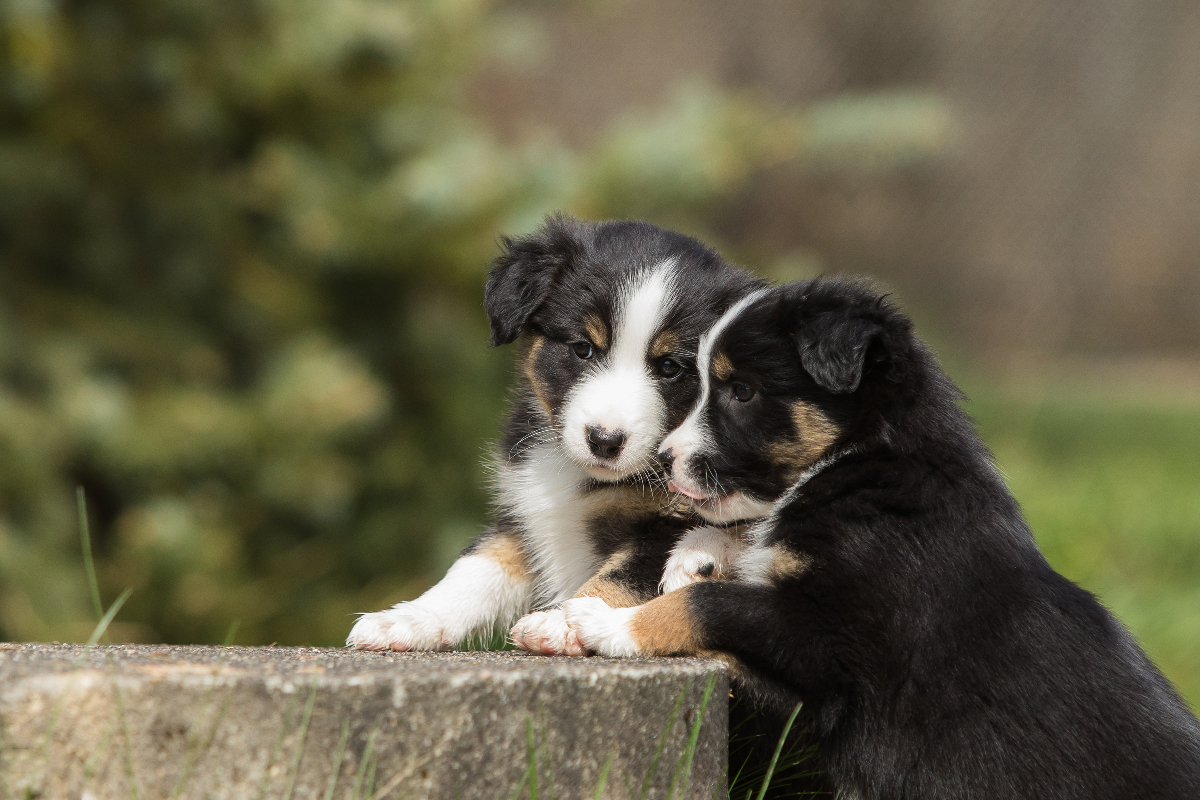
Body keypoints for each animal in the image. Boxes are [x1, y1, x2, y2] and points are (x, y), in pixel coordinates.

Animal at [348, 215, 758, 652]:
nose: (604, 441)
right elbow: (476, 566)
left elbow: (621, 574)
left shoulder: (666, 521)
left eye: (670, 367)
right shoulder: (524, 512)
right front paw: (409, 619)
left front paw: (565, 622)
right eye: (582, 348)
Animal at [561, 280, 1200, 800]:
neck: (863, 461)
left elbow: (705, 605)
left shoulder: (830, 636)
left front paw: (601, 623)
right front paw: (697, 553)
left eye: (740, 391)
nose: (663, 461)